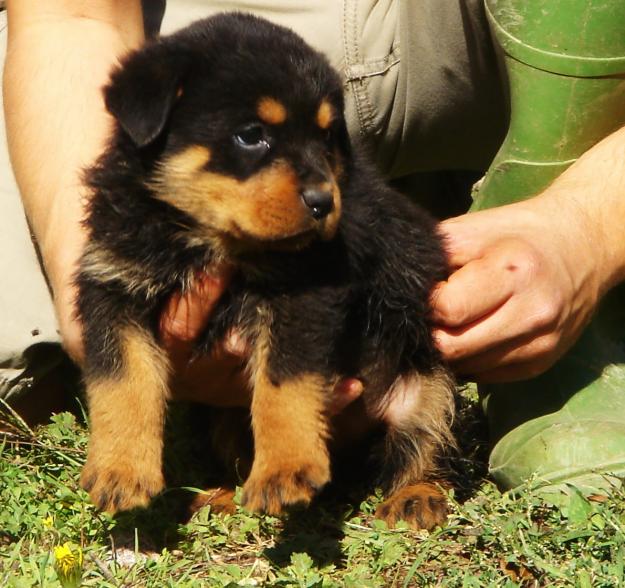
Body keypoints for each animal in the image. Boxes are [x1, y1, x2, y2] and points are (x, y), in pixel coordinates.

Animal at [78, 11, 456, 532]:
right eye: (251, 134)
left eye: (326, 136)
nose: (323, 202)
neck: (202, 237)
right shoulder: (111, 285)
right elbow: (121, 381)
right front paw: (120, 469)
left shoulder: (304, 291)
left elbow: (284, 382)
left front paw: (285, 469)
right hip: (218, 415)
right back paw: (217, 495)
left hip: (426, 380)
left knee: (423, 444)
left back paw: (415, 495)